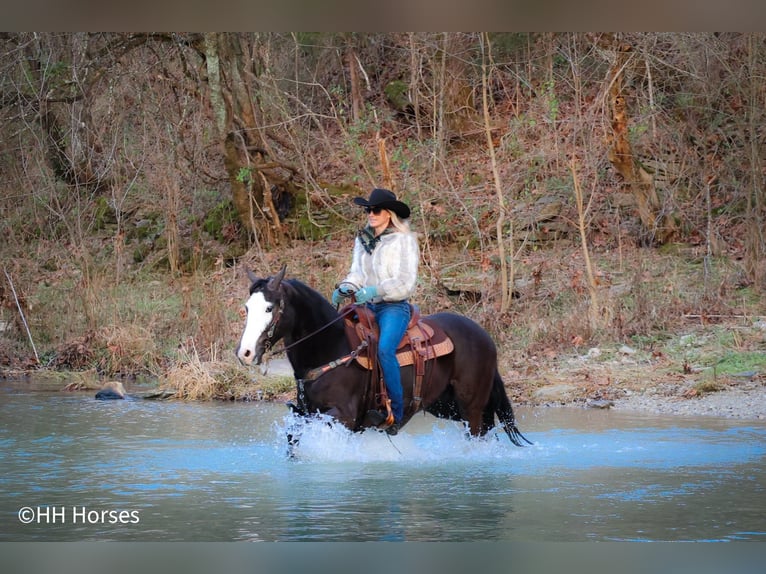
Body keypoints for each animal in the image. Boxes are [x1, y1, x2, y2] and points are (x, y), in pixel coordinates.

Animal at [235, 265, 531, 447]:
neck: (331, 346)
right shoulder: (306, 412)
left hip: (471, 407)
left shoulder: (343, 416)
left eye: (270, 308)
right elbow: (292, 437)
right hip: (447, 406)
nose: (245, 353)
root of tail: (485, 337)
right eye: (247, 307)